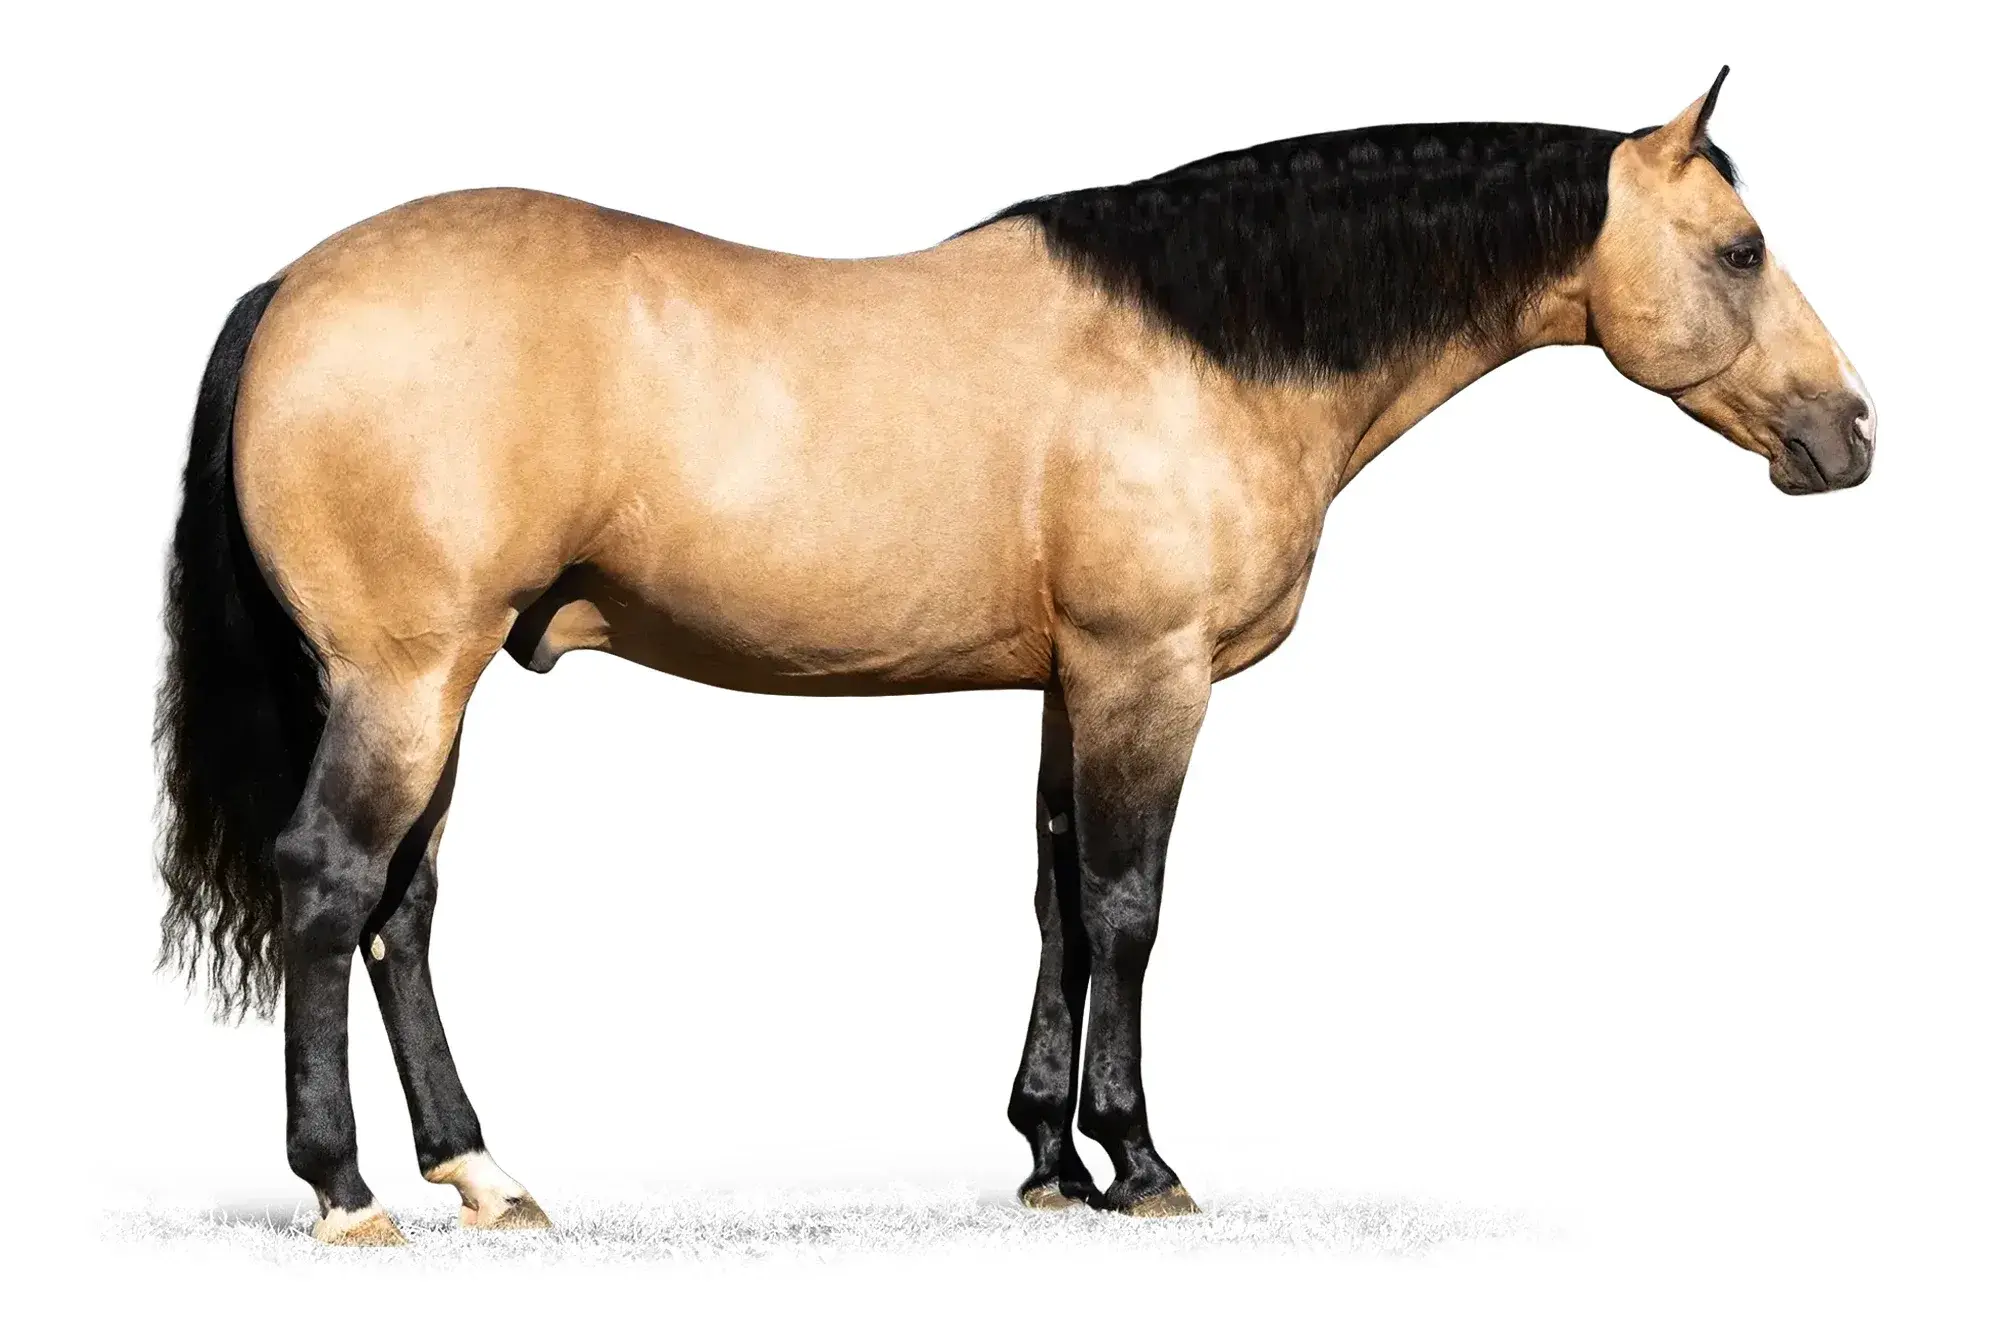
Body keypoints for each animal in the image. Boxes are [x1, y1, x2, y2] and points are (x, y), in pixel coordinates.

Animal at [157, 68, 1873, 1245]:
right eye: (1741, 249)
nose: (1850, 433)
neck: (1203, 344)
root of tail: (290, 287)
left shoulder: (1070, 680)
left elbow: (1054, 896)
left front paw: (1050, 1157)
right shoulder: (1147, 672)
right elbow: (1127, 906)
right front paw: (1143, 1158)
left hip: (435, 690)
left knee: (404, 913)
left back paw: (483, 1171)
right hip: (405, 678)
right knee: (334, 886)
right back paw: (346, 1188)